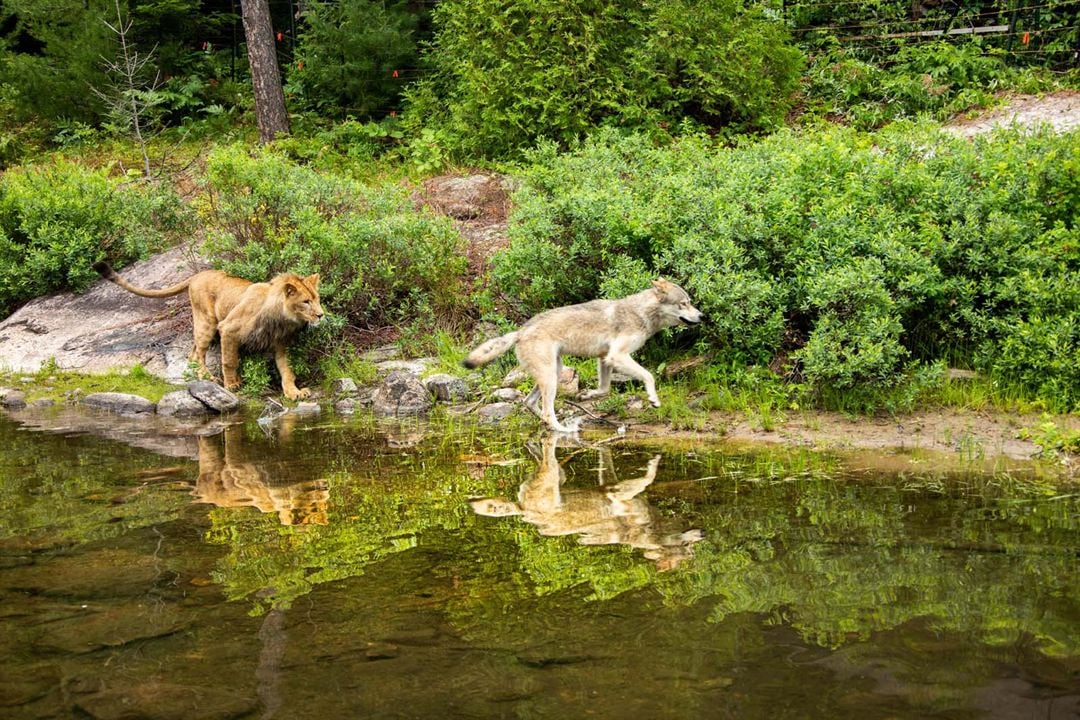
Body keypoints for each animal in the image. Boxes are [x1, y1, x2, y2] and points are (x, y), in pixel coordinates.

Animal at [93, 263, 321, 403]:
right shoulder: (228, 328)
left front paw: (294, 392)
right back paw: (209, 378)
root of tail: (197, 275)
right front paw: (232, 384)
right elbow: (229, 361)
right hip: (207, 322)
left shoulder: (280, 343)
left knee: (193, 352)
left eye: (317, 298)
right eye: (306, 301)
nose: (321, 314)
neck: (281, 317)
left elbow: (286, 370)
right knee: (197, 353)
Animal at [462, 278, 699, 431]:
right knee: (547, 411)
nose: (703, 316)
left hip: (555, 372)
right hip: (551, 377)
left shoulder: (605, 358)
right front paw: (653, 399)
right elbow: (649, 376)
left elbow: (604, 389)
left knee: (529, 403)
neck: (641, 312)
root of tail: (519, 332)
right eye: (684, 303)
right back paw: (562, 430)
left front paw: (587, 395)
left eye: (690, 302)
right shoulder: (617, 356)